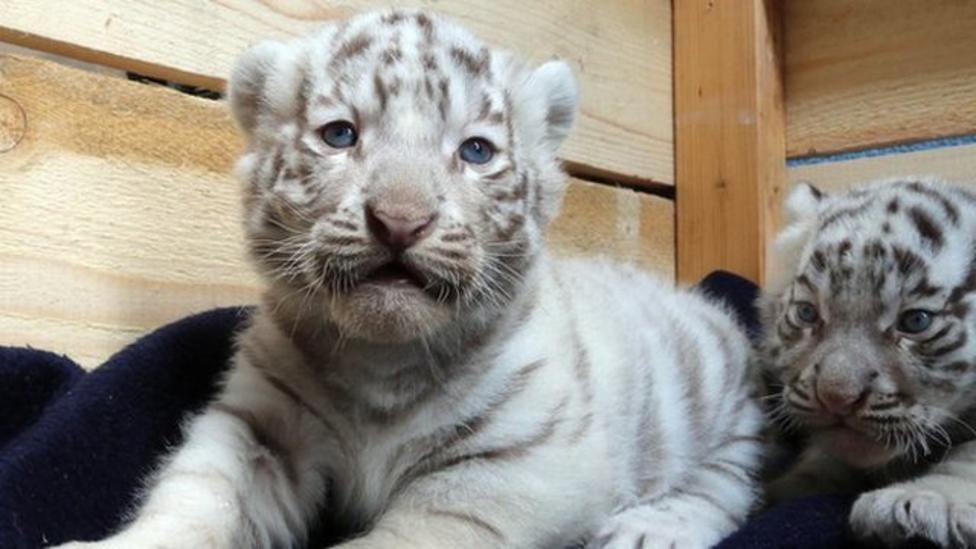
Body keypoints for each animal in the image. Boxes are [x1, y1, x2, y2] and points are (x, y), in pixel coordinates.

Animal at [52, 9, 762, 549]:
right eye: (340, 135)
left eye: (476, 150)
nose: (400, 220)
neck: (382, 363)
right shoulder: (262, 427)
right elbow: (199, 494)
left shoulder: (518, 467)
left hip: (726, 403)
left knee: (727, 481)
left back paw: (653, 528)